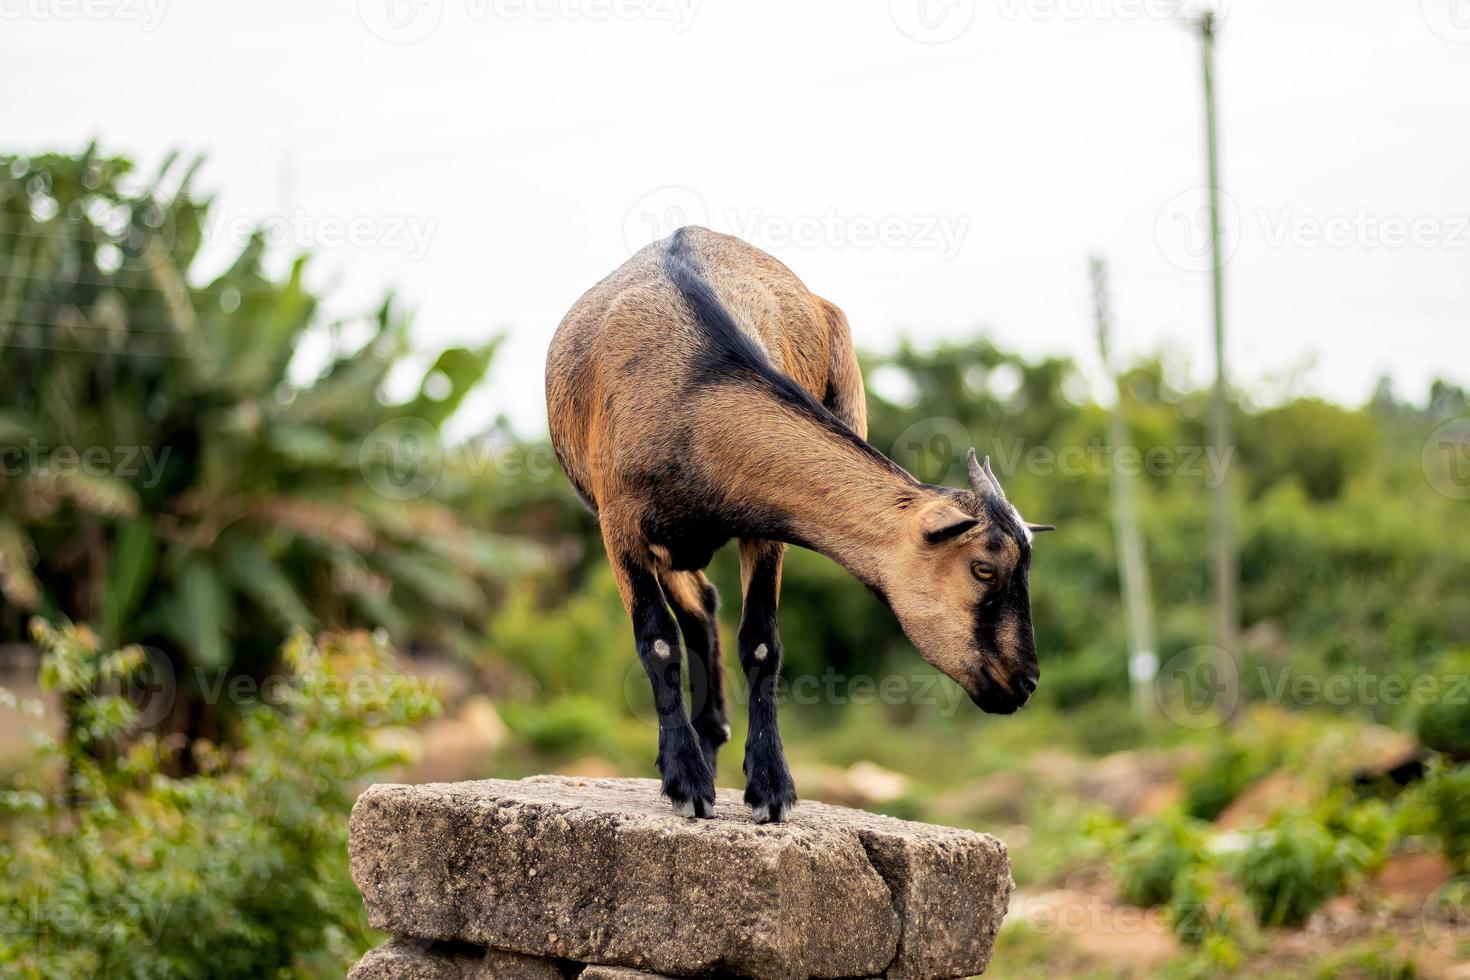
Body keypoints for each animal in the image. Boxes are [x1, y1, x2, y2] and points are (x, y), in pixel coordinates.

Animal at [546, 227, 1052, 822]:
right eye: (984, 569)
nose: (1024, 681)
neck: (696, 394)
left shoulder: (764, 529)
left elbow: (761, 643)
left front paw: (770, 787)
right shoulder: (620, 527)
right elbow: (657, 641)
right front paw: (686, 781)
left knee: (703, 602)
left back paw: (713, 735)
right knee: (693, 607)